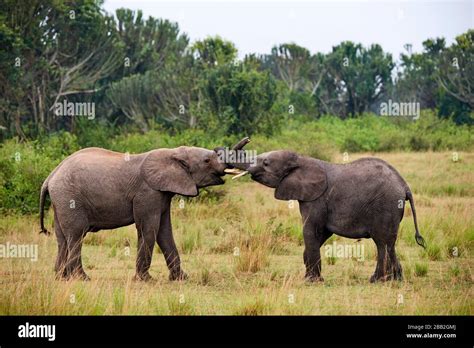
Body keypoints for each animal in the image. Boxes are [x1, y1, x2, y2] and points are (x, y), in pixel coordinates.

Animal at [39, 139, 248, 280]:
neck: (173, 153)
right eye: (207, 161)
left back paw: (61, 277)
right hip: (70, 198)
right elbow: (149, 229)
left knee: (62, 237)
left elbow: (165, 232)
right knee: (76, 234)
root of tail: (50, 177)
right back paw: (82, 278)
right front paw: (145, 280)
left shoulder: (162, 193)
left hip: (61, 201)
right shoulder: (148, 192)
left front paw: (182, 279)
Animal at [228, 145, 428, 282]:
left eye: (266, 163)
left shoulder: (316, 199)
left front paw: (311, 281)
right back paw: (396, 280)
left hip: (385, 205)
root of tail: (404, 185)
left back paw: (376, 280)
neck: (301, 159)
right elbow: (321, 234)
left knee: (381, 242)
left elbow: (310, 231)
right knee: (389, 242)